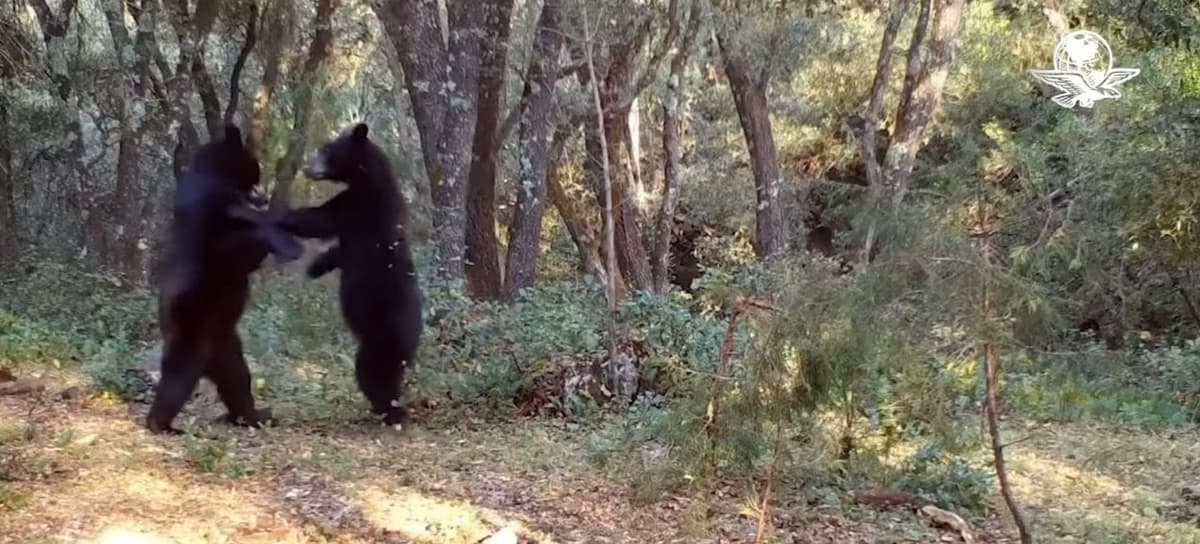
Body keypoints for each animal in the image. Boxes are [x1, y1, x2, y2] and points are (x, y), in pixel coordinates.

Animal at [146, 124, 303, 435]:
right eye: (254, 172)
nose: (263, 193)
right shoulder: (218, 209)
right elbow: (239, 248)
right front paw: (287, 241)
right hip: (192, 323)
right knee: (180, 375)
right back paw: (161, 424)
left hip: (226, 344)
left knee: (237, 379)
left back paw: (252, 416)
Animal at [276, 122, 423, 429]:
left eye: (326, 150)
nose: (306, 167)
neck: (369, 179)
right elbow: (333, 247)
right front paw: (315, 266)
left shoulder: (358, 209)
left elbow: (316, 220)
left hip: (379, 340)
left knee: (370, 374)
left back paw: (389, 410)